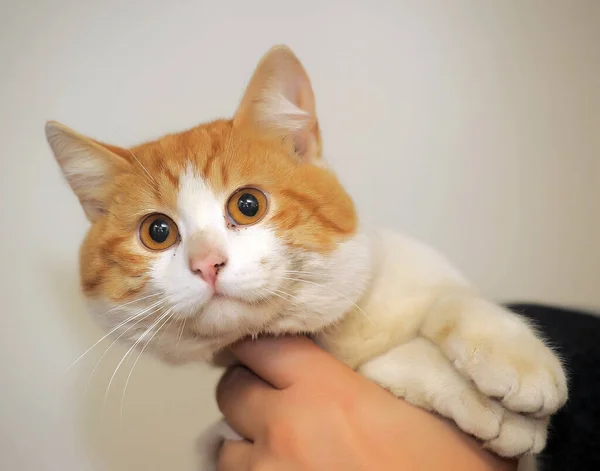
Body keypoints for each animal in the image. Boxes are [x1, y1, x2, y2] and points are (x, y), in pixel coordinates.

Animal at [45, 45, 568, 471]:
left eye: (248, 204)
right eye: (157, 232)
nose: (207, 263)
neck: (337, 334)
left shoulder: (413, 266)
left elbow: (455, 298)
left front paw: (517, 361)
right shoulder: (216, 441)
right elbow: (388, 365)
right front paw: (487, 407)